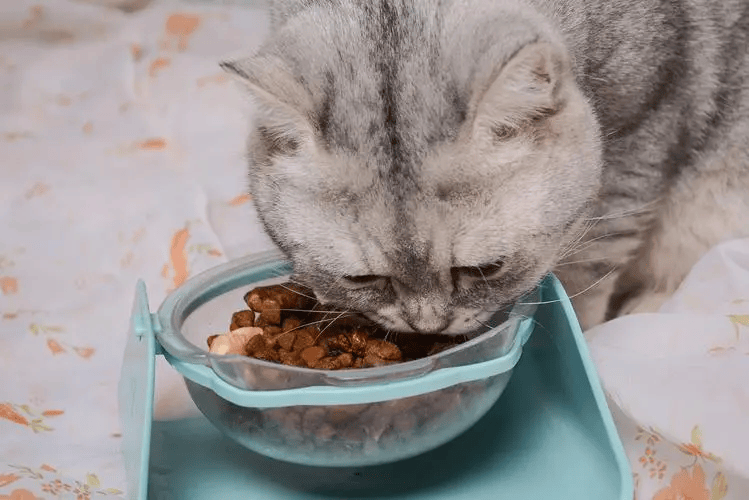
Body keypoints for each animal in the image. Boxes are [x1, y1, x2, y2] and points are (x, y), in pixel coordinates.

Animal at [221, 0, 749, 333]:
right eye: (361, 281)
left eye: (485, 269)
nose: (427, 324)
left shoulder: (643, 133)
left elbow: (590, 269)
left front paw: (587, 337)